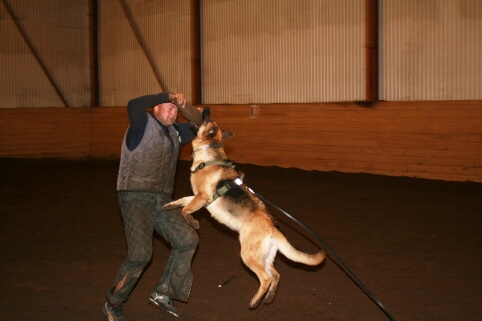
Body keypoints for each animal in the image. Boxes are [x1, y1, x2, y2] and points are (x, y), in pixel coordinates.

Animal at [163, 107, 328, 308]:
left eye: (206, 119)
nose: (205, 109)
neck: (210, 152)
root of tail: (272, 225)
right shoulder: (197, 197)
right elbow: (182, 201)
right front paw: (168, 205)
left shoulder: (202, 197)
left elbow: (185, 210)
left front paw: (192, 222)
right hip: (265, 257)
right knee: (276, 275)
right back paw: (269, 297)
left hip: (249, 255)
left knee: (266, 278)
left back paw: (255, 301)